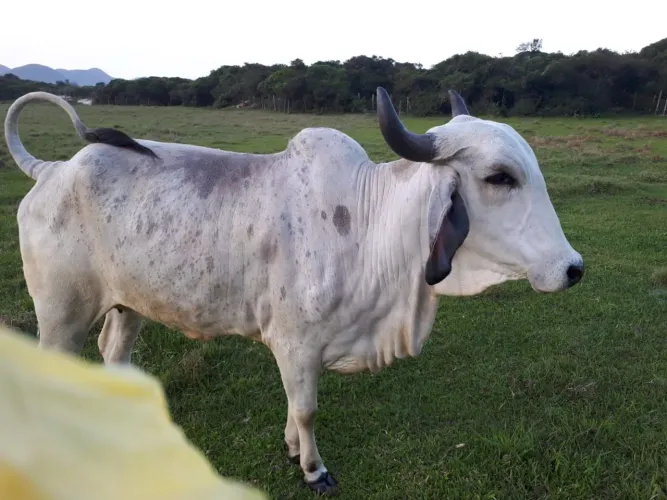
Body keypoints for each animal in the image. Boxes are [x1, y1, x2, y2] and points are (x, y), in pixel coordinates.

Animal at [4, 88, 584, 495]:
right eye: (499, 177)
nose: (572, 268)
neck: (369, 227)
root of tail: (51, 171)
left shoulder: (300, 349)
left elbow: (293, 406)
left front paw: (290, 449)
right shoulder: (295, 343)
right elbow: (306, 409)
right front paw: (313, 468)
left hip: (129, 304)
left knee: (112, 351)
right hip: (60, 315)